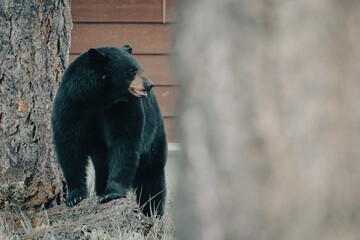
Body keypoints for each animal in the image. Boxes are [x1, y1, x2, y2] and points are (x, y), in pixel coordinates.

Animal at [51, 45, 167, 216]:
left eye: (141, 68)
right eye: (131, 70)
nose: (150, 84)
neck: (98, 98)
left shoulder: (123, 107)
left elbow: (124, 140)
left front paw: (111, 193)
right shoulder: (72, 103)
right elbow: (69, 143)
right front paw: (74, 196)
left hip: (154, 137)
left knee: (151, 177)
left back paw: (152, 212)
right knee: (103, 172)